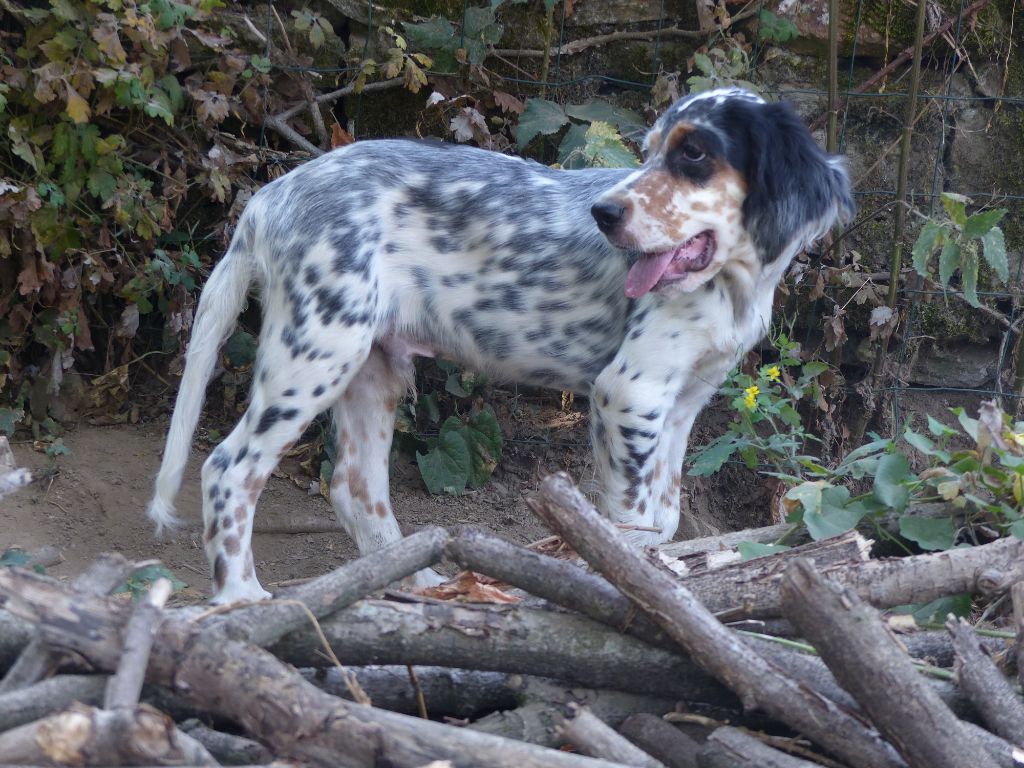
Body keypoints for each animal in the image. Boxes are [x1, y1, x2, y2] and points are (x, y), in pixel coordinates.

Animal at [148, 87, 854, 603]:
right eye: (652, 152)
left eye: (696, 154)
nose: (604, 214)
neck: (731, 281)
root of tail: (267, 199)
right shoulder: (629, 393)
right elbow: (631, 527)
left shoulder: (683, 402)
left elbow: (665, 520)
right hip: (318, 348)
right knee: (228, 468)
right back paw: (241, 598)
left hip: (372, 367)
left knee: (353, 487)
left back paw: (422, 584)